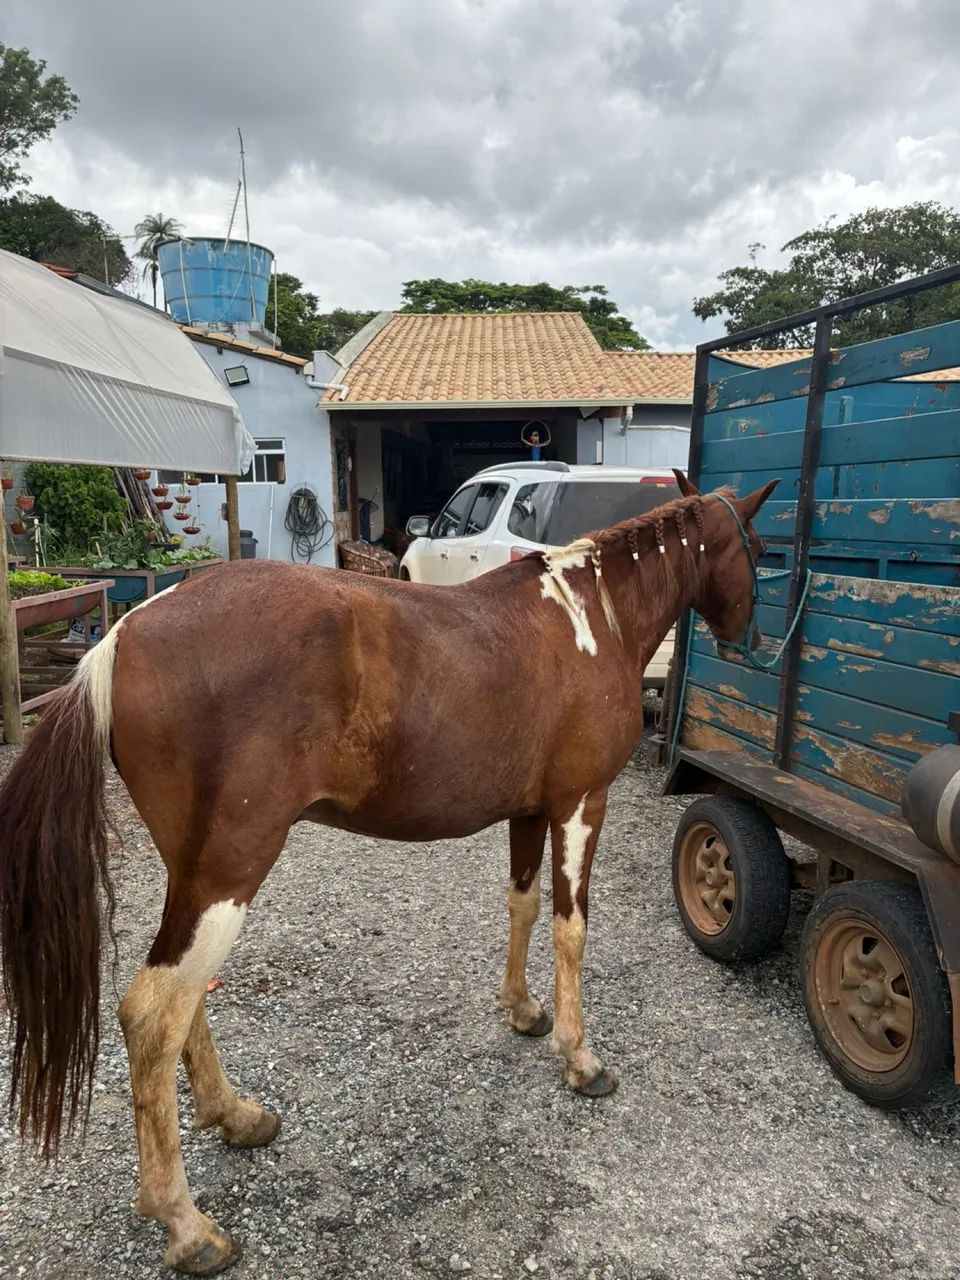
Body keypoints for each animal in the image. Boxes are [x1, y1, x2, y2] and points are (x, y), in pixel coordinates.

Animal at [0, 471, 777, 1274]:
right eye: (760, 548)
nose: (750, 639)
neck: (591, 616)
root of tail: (123, 637)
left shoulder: (530, 811)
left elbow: (523, 906)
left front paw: (523, 1011)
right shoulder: (578, 803)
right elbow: (571, 928)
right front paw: (581, 1058)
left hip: (193, 872)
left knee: (185, 999)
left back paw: (235, 1116)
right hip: (228, 870)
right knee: (154, 1013)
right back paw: (186, 1226)